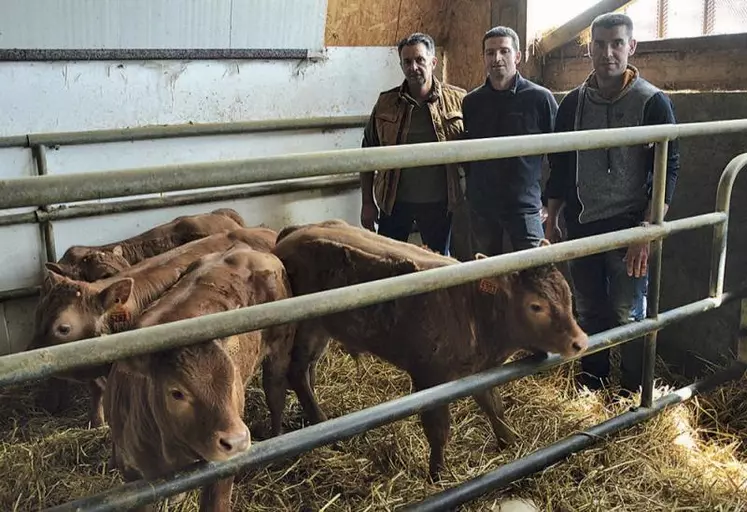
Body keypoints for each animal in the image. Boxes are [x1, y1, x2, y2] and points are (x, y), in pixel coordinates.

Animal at [105, 246, 296, 510]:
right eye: (176, 392)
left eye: (233, 380)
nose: (237, 441)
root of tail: (249, 250)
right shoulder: (133, 478)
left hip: (280, 352)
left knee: (276, 395)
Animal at [274, 220, 592, 480]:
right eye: (536, 306)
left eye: (567, 293)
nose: (580, 341)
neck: (473, 308)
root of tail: (295, 231)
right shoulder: (429, 377)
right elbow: (438, 430)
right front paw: (437, 474)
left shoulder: (479, 372)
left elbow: (495, 407)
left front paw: (511, 443)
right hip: (305, 325)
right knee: (297, 372)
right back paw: (322, 424)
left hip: (322, 329)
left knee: (308, 369)